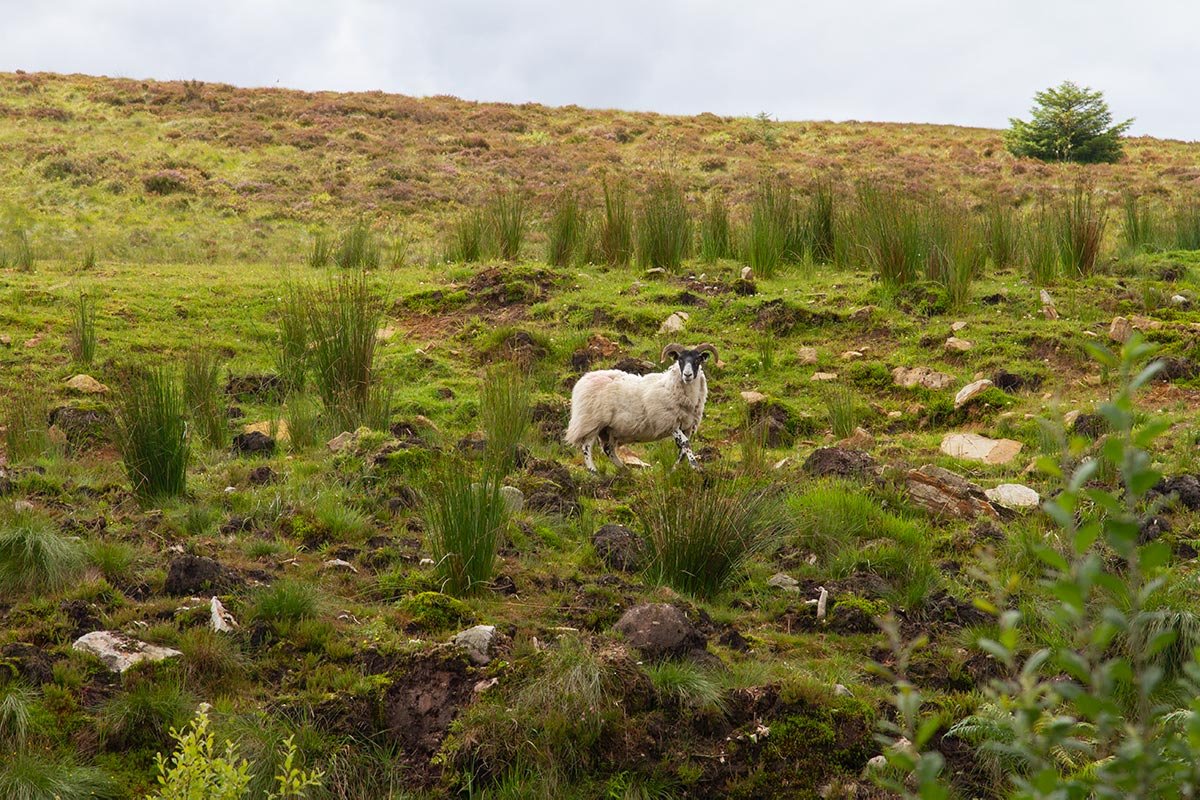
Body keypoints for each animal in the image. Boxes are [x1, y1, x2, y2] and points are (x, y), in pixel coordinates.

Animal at [565, 343, 718, 472]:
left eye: (697, 360)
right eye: (680, 360)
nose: (687, 375)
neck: (671, 386)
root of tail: (583, 380)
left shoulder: (687, 426)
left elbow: (682, 449)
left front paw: (675, 469)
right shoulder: (669, 422)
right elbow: (685, 443)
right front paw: (695, 466)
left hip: (607, 429)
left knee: (608, 449)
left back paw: (625, 470)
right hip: (591, 422)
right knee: (586, 447)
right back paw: (594, 471)